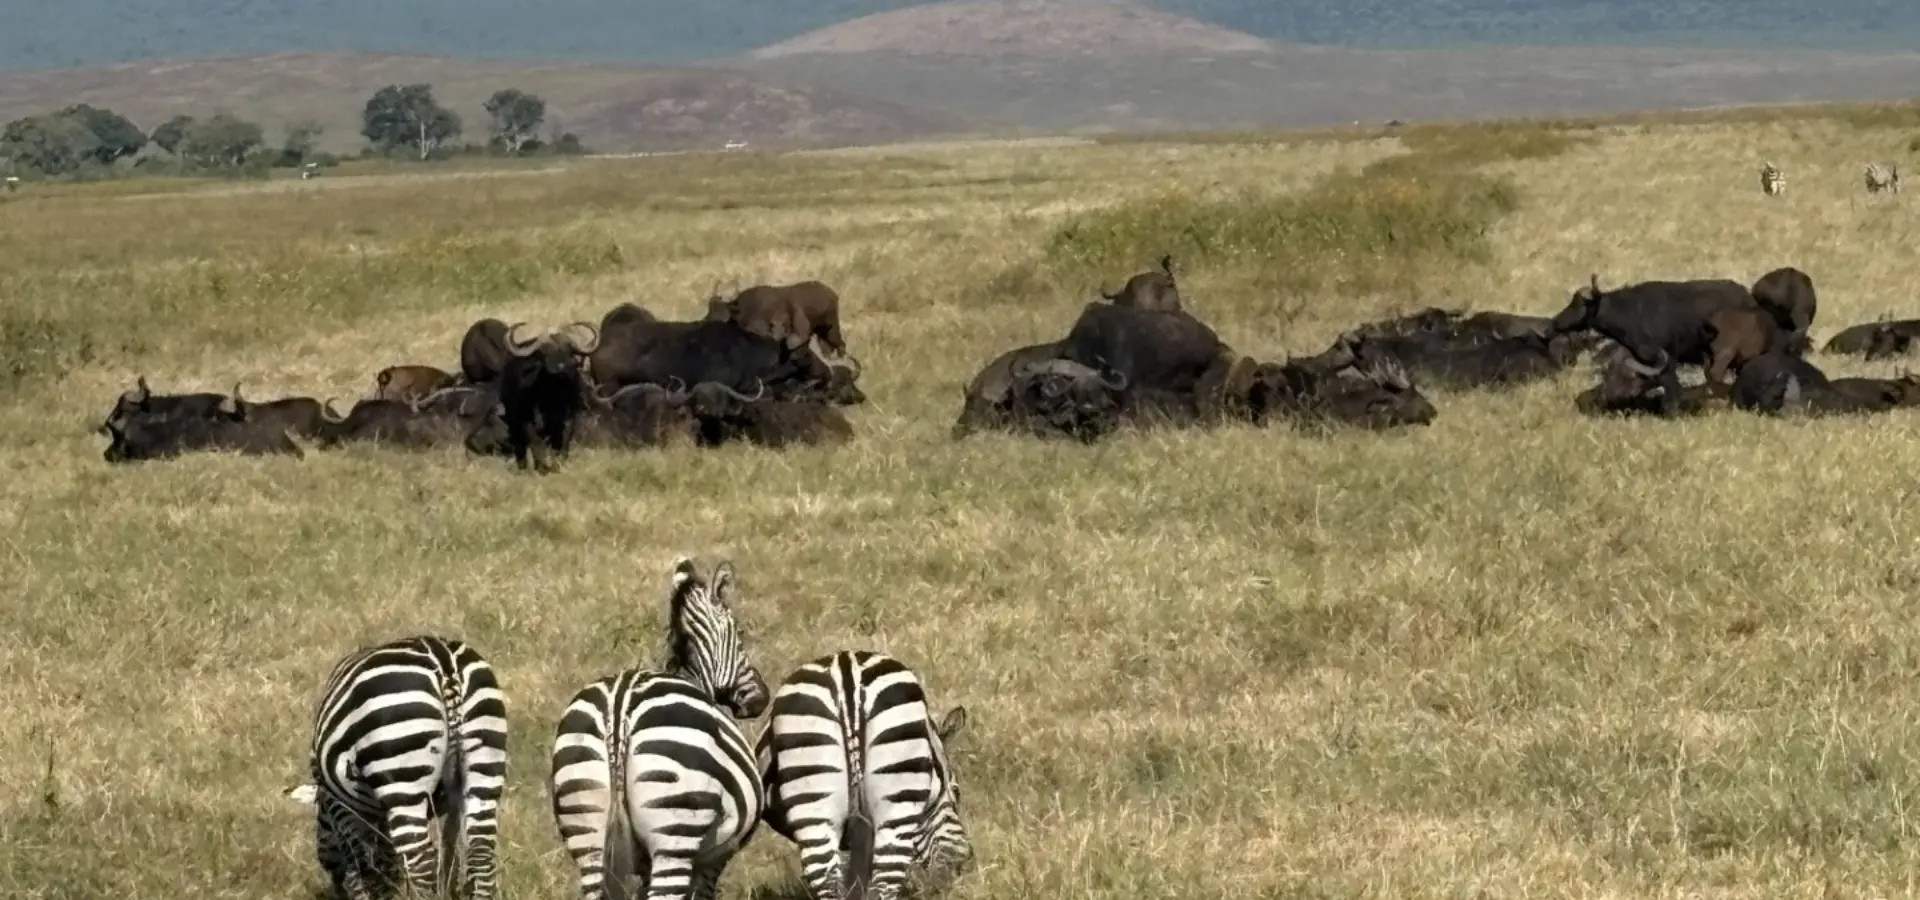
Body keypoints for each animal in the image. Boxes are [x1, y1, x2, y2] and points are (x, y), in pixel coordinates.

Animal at [304, 634, 508, 900]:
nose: (329, 872)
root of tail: (444, 660)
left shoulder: (343, 808)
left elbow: (365, 865)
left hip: (402, 778)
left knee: (421, 862)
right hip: (485, 758)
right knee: (481, 852)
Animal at [549, 556, 771, 900]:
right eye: (741, 636)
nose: (762, 698)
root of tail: (619, 708)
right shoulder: (715, 857)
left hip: (585, 825)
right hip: (676, 830)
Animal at [757, 650, 973, 900]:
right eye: (957, 791)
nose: (963, 861)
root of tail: (846, 670)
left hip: (813, 804)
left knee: (828, 882)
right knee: (883, 885)